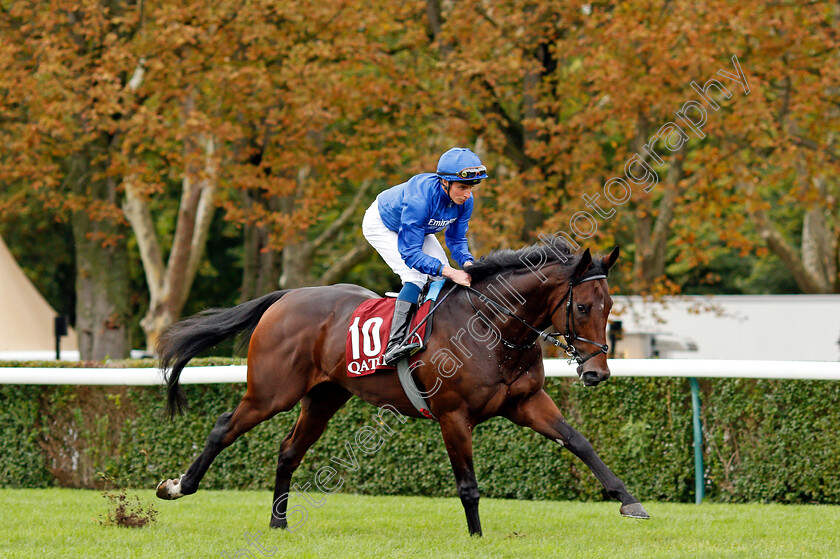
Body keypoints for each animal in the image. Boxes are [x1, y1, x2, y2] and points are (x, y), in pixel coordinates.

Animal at [156, 238, 648, 536]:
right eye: (582, 306)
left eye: (610, 306)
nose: (597, 372)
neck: (493, 328)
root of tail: (287, 296)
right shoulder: (452, 415)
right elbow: (468, 484)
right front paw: (477, 537)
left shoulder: (526, 402)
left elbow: (580, 443)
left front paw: (629, 502)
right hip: (271, 392)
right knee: (224, 426)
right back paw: (178, 486)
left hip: (325, 397)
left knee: (289, 450)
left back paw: (279, 524)